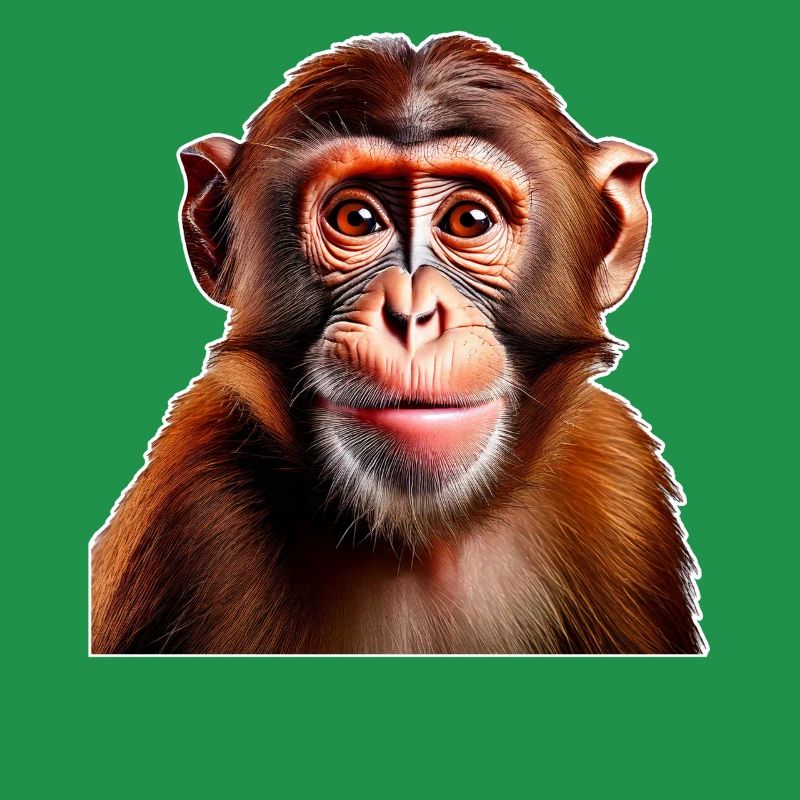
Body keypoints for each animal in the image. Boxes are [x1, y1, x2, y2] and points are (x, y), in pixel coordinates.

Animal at [90, 33, 705, 655]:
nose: (412, 314)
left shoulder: (619, 477)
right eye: (356, 218)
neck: (422, 540)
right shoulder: (190, 505)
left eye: (469, 219)